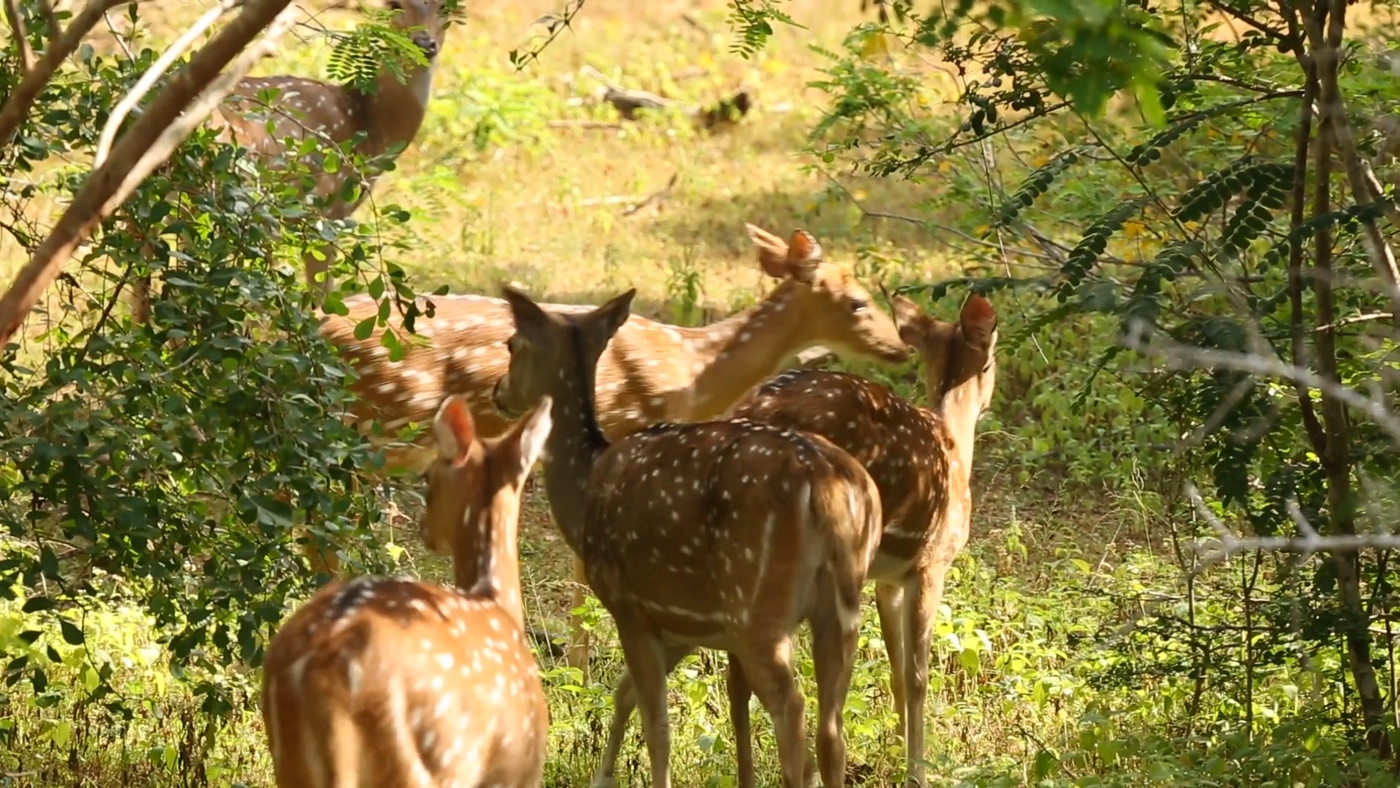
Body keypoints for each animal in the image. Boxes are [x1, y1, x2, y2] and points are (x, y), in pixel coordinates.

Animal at [130, 0, 448, 323]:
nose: (424, 43)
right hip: (221, 193)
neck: (371, 125)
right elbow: (321, 299)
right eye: (394, 5)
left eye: (445, 8)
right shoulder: (326, 209)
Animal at [263, 394, 551, 788]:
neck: (496, 602)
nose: (423, 527)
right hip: (423, 762)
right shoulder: (517, 769)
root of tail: (318, 671)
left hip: (291, 764)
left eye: (428, 476)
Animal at [492, 285, 884, 788]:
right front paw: (601, 776)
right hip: (841, 606)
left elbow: (656, 723)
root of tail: (830, 489)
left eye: (511, 345)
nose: (498, 391)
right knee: (832, 727)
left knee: (792, 709)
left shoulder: (628, 602)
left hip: (758, 605)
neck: (584, 491)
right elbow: (625, 693)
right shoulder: (684, 621)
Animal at [722, 291, 1008, 788]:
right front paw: (918, 772)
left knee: (738, 681)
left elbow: (897, 670)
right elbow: (918, 676)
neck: (954, 444)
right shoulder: (931, 562)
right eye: (991, 360)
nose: (992, 399)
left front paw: (896, 749)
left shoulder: (888, 576)